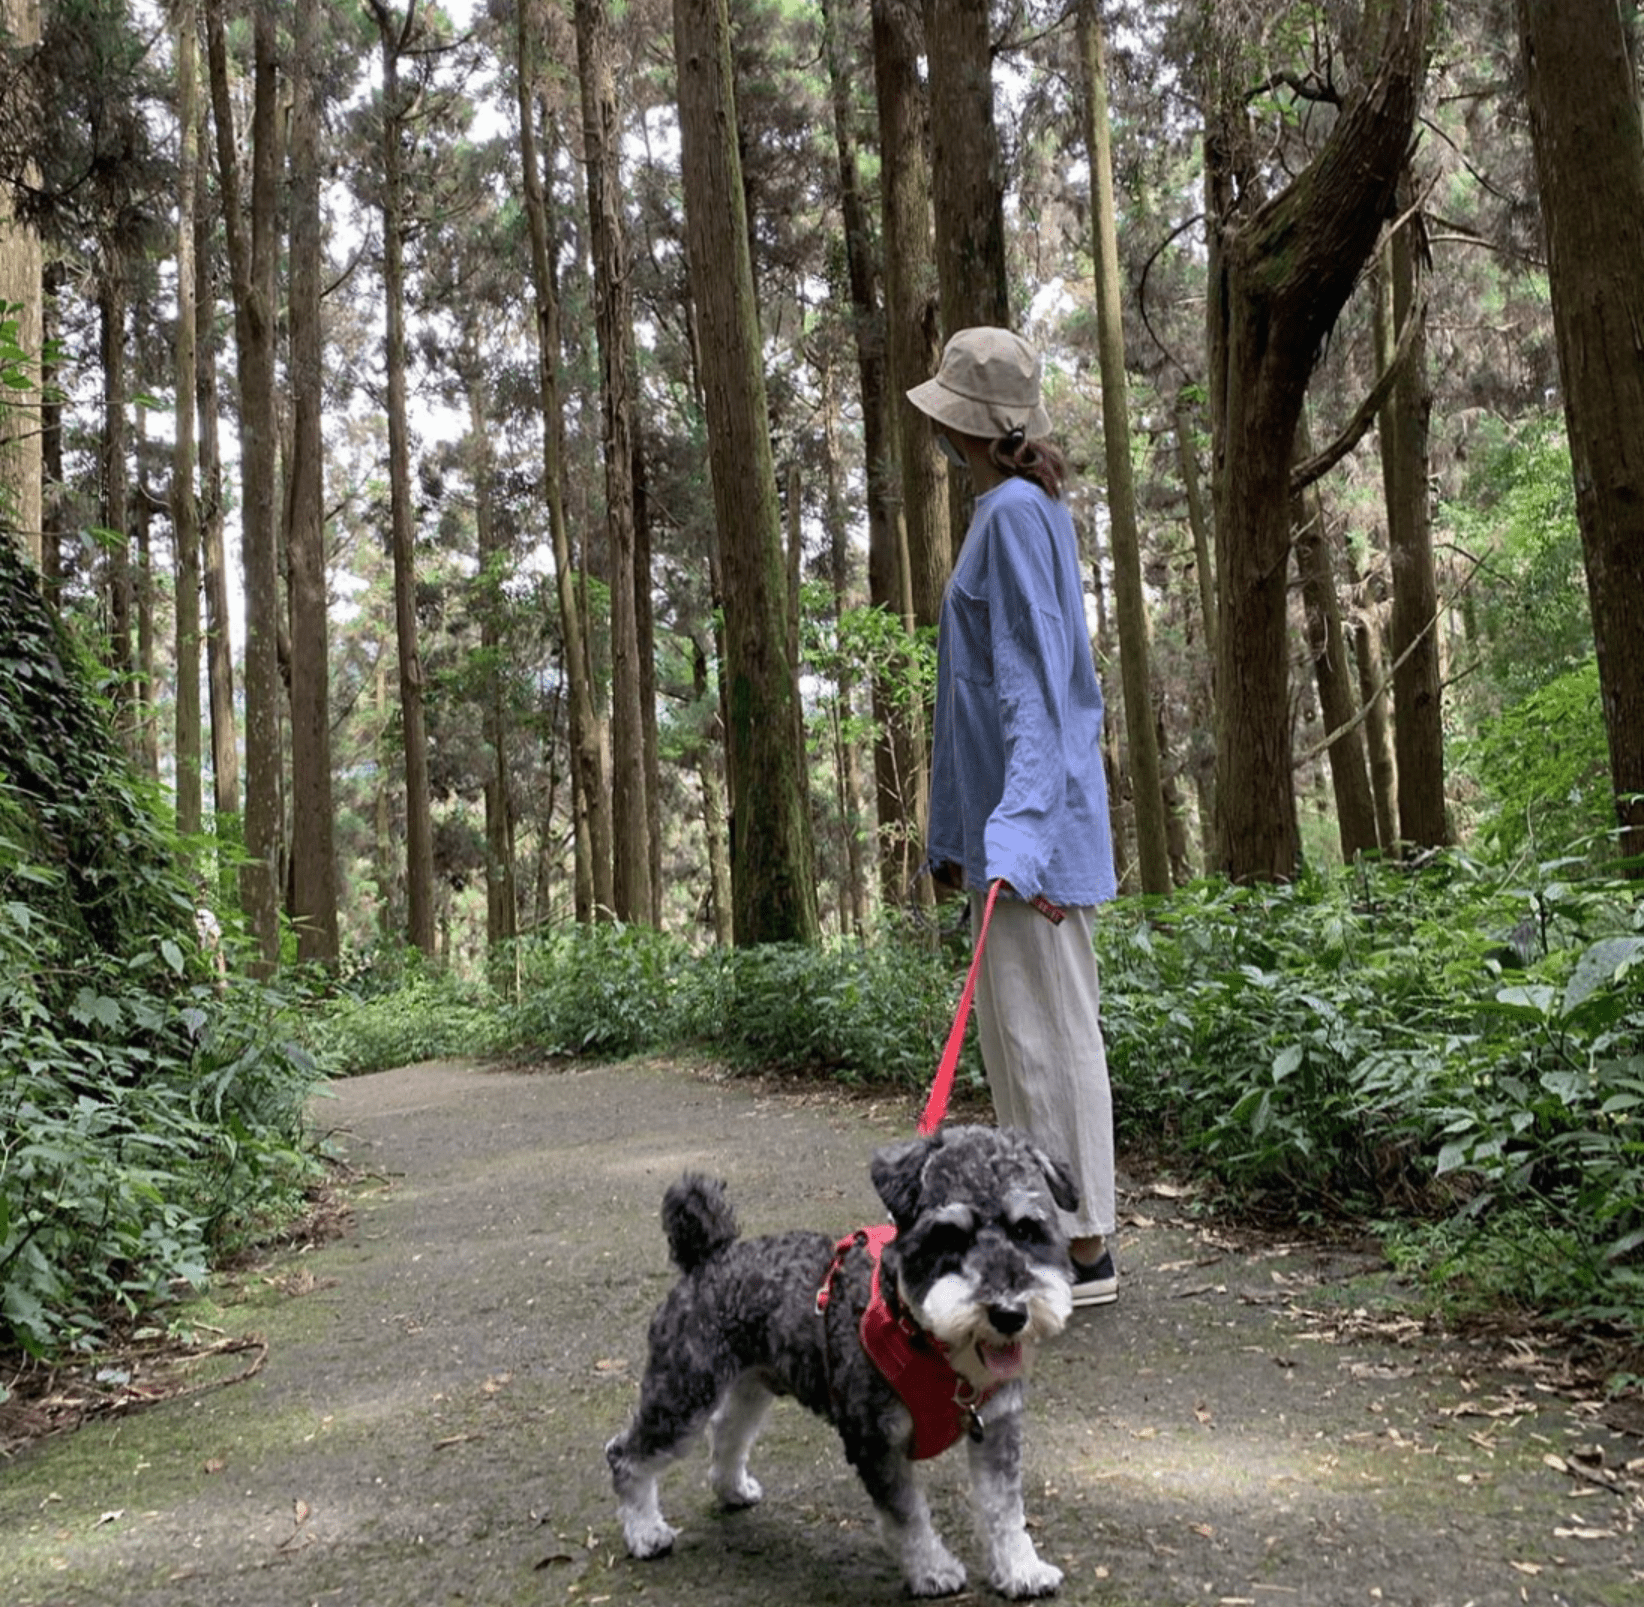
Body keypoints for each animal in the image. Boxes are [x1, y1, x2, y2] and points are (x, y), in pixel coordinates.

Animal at [604, 1125, 1078, 1598]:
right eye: (949, 1236)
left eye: (1026, 1229)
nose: (1010, 1313)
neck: (931, 1346)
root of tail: (709, 1257)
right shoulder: (875, 1442)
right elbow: (907, 1518)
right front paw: (931, 1569)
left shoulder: (997, 1426)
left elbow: (1004, 1510)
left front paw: (1021, 1569)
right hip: (682, 1394)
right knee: (626, 1455)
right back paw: (645, 1531)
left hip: (749, 1385)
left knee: (728, 1431)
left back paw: (731, 1488)